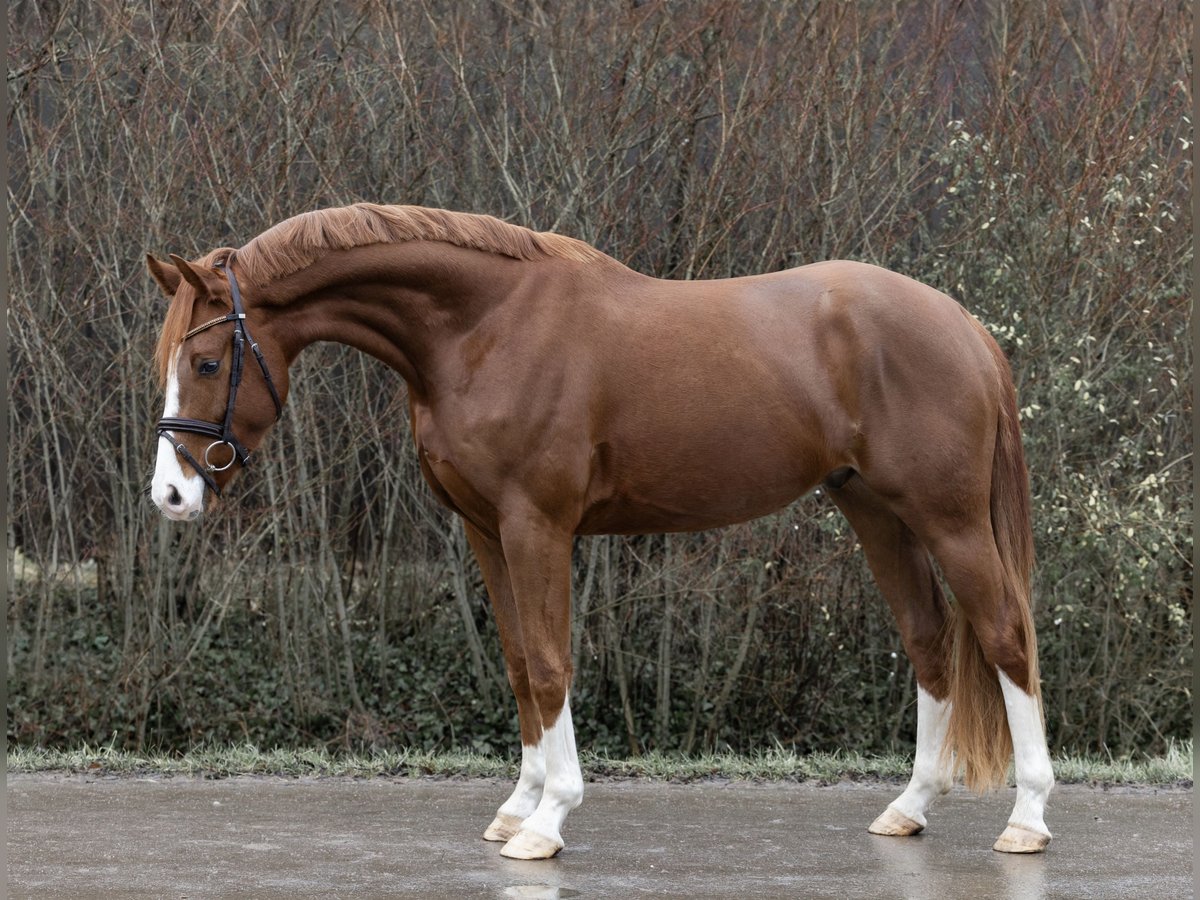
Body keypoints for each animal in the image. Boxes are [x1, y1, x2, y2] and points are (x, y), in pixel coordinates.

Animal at [147, 204, 1051, 859]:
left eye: (207, 363)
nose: (171, 495)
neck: (482, 328)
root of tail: (965, 328)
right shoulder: (485, 530)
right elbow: (519, 663)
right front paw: (517, 808)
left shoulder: (536, 526)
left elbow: (551, 665)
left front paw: (549, 821)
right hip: (876, 511)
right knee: (930, 640)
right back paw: (910, 807)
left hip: (949, 518)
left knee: (1006, 634)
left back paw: (1029, 818)